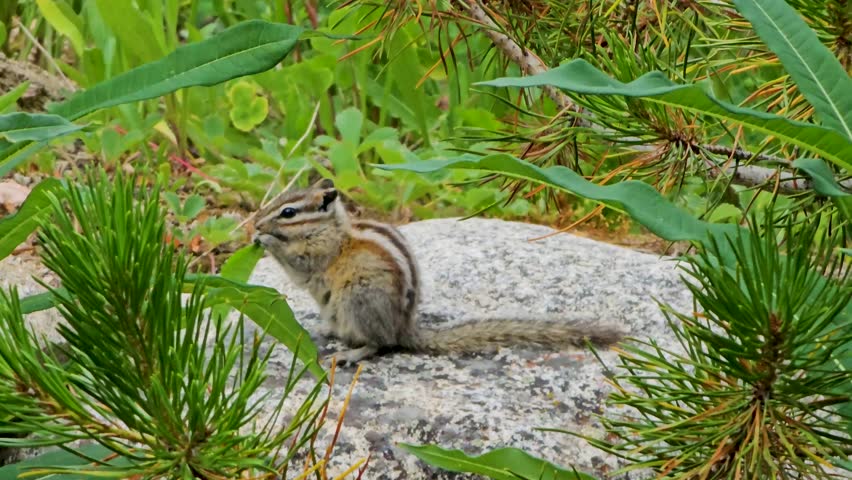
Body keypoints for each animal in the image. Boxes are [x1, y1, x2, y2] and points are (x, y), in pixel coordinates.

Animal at [253, 178, 625, 364]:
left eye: (288, 212)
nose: (256, 222)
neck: (334, 228)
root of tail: (404, 329)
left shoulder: (319, 254)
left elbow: (300, 266)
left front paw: (266, 240)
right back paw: (326, 330)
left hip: (358, 297)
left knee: (380, 344)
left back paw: (352, 353)